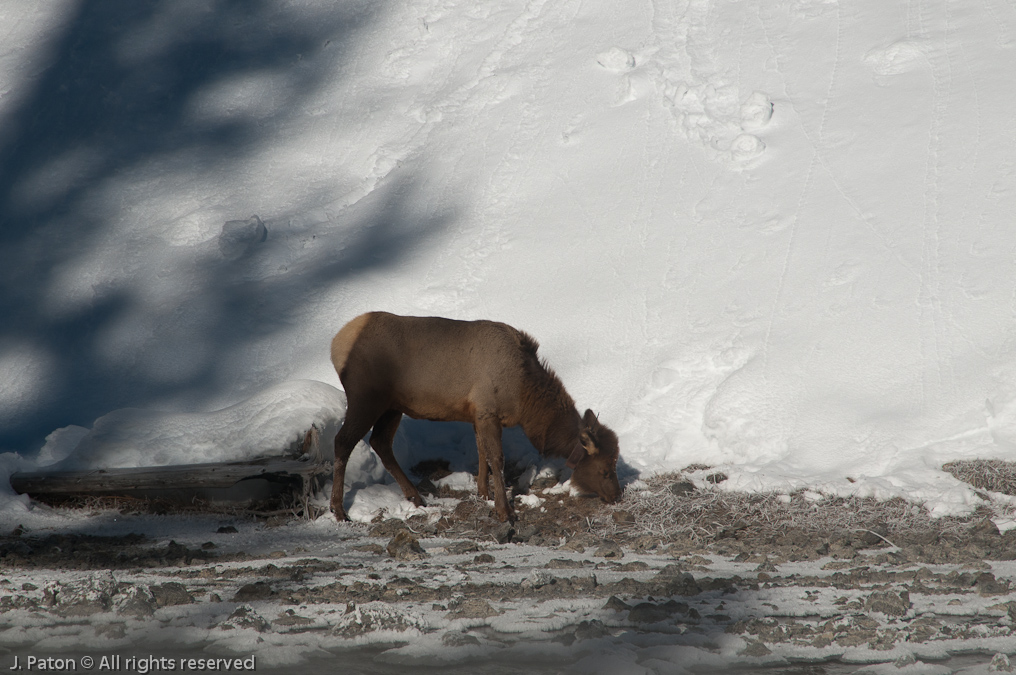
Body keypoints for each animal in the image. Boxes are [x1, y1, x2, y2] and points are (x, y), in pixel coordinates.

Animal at [329, 311, 621, 522]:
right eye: (605, 470)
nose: (617, 495)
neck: (524, 397)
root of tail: (335, 345)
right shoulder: (488, 410)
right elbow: (497, 459)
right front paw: (505, 512)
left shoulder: (478, 414)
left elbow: (482, 452)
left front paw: (483, 493)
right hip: (366, 398)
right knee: (342, 441)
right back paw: (339, 510)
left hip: (392, 406)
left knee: (380, 443)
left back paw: (416, 497)